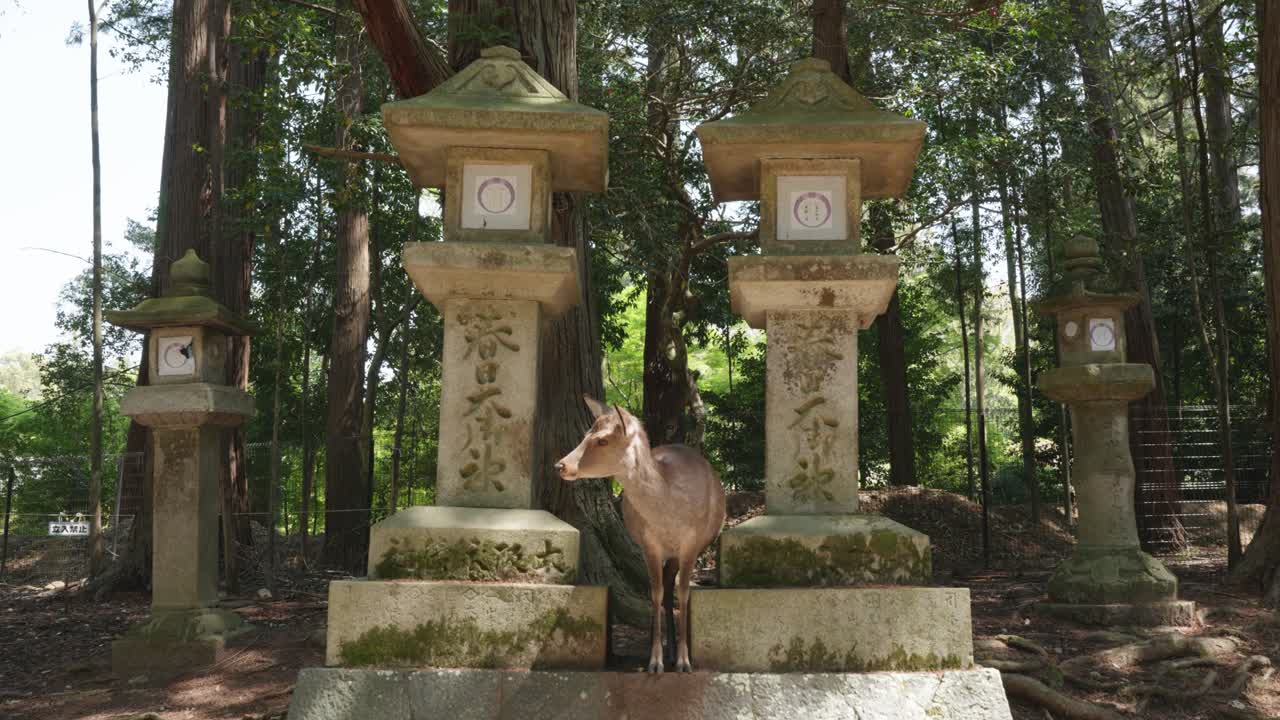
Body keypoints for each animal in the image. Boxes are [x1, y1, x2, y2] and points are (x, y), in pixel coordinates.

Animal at [555, 395, 726, 673]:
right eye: (585, 433)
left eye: (602, 440)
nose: (560, 465)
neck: (670, 513)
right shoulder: (648, 543)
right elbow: (654, 593)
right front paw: (655, 661)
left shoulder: (691, 542)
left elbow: (684, 593)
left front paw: (684, 662)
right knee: (665, 587)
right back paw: (667, 650)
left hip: (680, 551)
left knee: (672, 586)